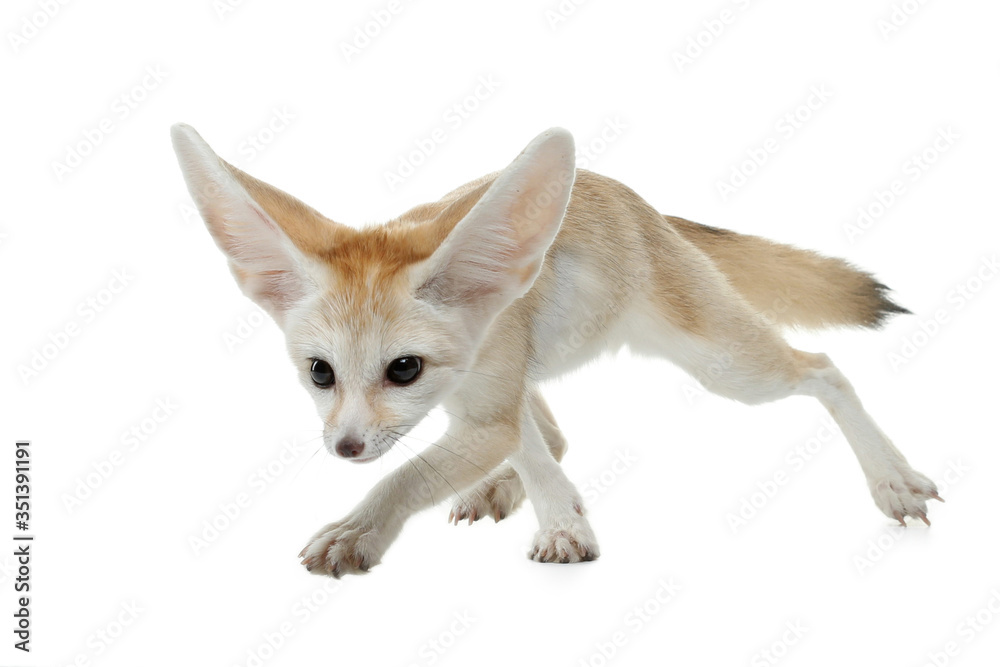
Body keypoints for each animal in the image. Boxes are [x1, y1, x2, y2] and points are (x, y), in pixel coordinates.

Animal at [171, 124, 941, 577]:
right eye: (320, 372)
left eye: (403, 368)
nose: (345, 448)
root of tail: (638, 205)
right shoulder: (483, 405)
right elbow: (528, 449)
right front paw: (560, 515)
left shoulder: (483, 409)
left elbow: (409, 476)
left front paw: (357, 527)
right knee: (553, 434)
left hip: (727, 366)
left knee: (826, 371)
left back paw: (893, 479)